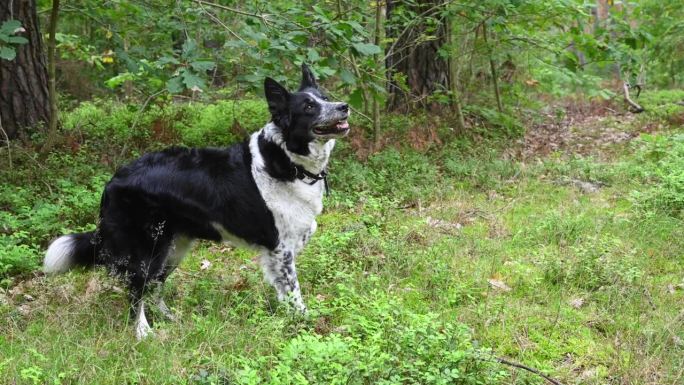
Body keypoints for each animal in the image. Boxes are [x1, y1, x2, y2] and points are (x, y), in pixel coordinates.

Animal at [45, 64, 350, 338]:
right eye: (308, 107)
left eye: (325, 97)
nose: (344, 106)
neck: (287, 158)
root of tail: (113, 180)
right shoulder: (281, 249)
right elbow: (294, 295)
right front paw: (306, 324)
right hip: (149, 249)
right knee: (136, 291)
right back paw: (143, 332)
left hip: (174, 248)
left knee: (154, 286)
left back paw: (169, 318)